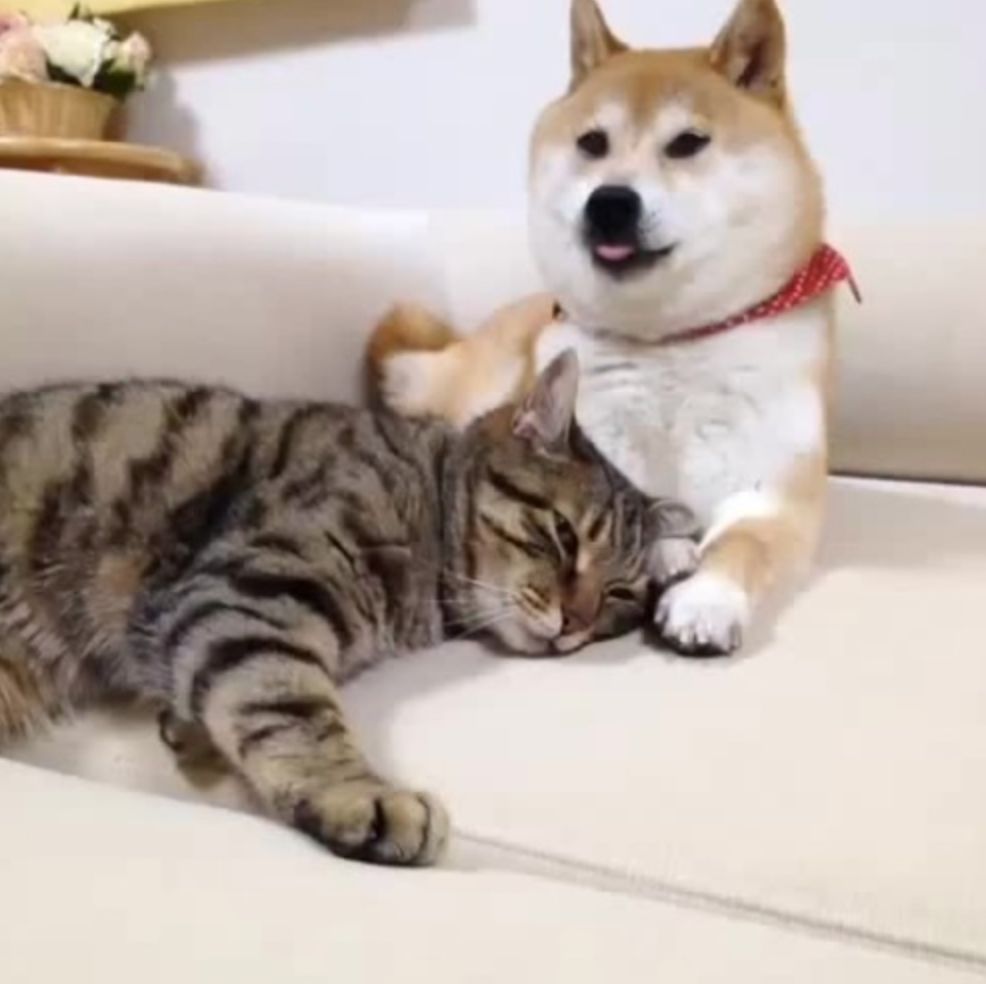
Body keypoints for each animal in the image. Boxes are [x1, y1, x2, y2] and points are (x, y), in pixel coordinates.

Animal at [0, 351, 696, 865]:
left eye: (619, 594)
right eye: (564, 535)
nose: (576, 622)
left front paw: (189, 732)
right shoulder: (254, 584)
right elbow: (290, 704)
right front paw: (362, 798)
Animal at [369, 0, 857, 656]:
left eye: (688, 143)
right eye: (592, 143)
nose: (610, 202)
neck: (670, 342)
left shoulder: (775, 498)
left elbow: (744, 542)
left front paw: (706, 598)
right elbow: (644, 508)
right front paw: (671, 550)